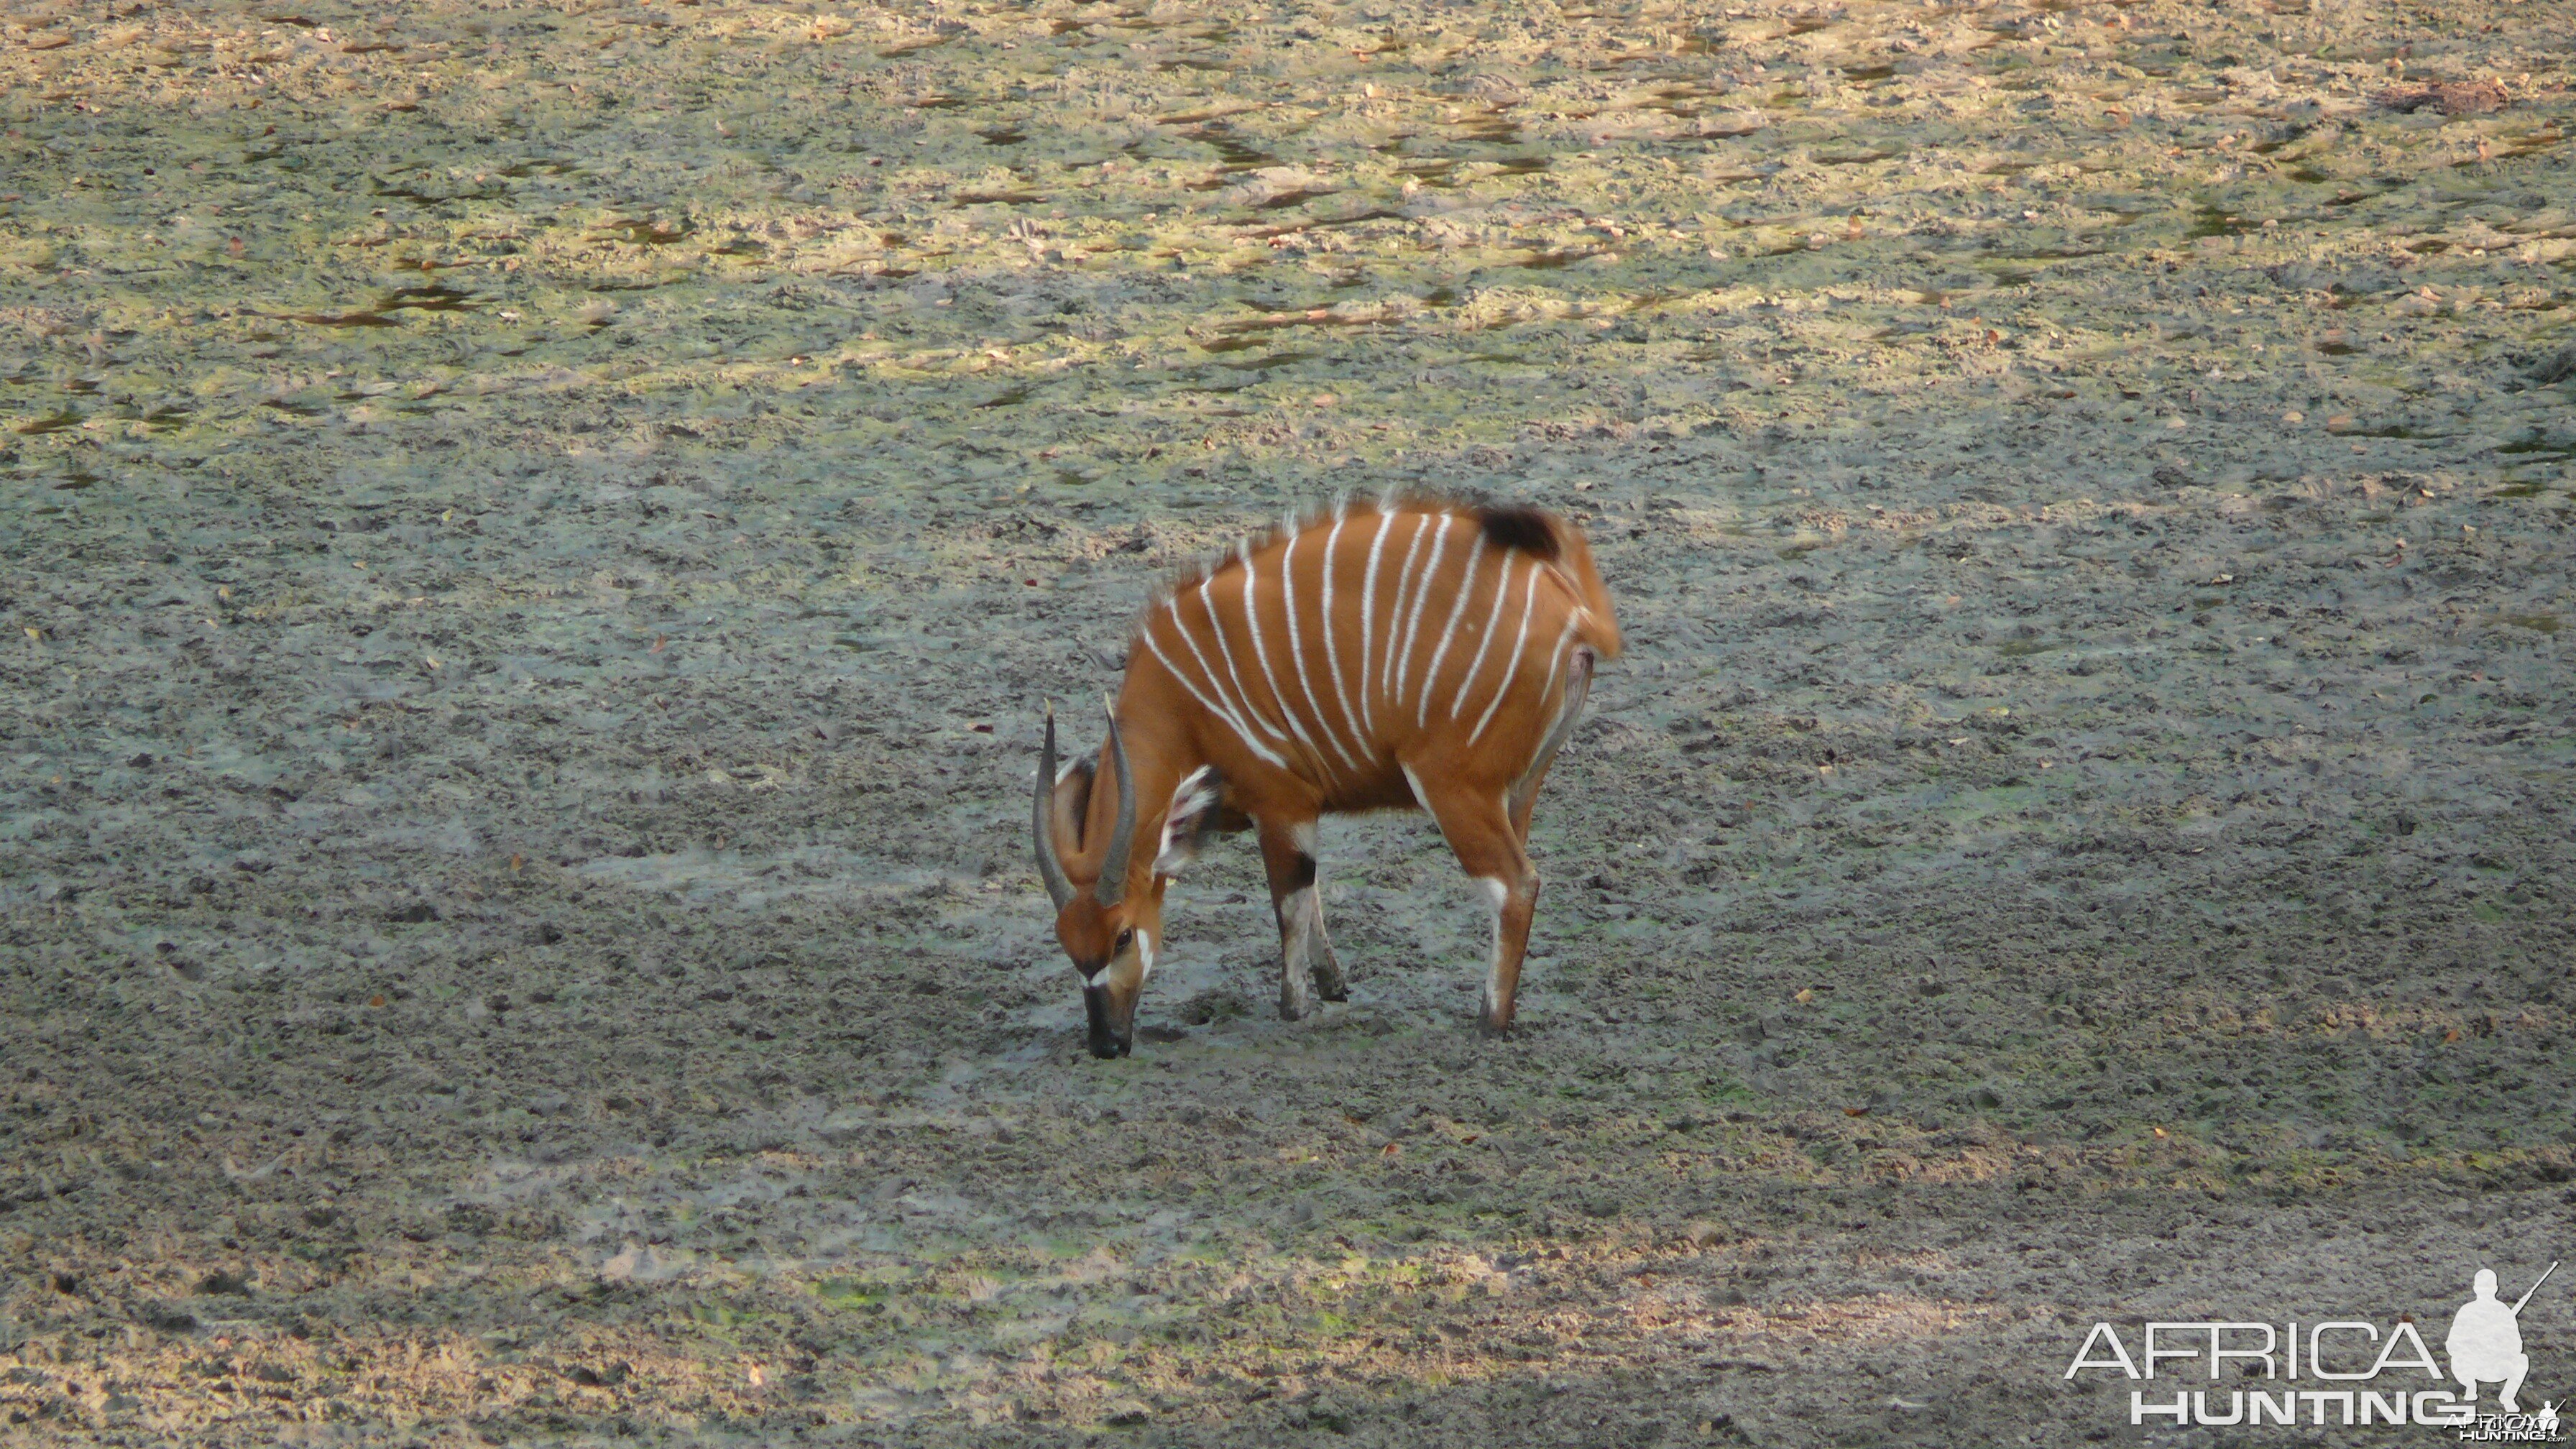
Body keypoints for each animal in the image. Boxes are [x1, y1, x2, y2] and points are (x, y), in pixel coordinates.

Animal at [1025, 492, 1607, 1046]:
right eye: (1064, 941)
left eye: (1122, 934)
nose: (1106, 1043)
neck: (1177, 703)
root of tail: (1572, 611)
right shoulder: (1295, 810)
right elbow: (1312, 896)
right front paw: (1335, 985)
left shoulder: (1281, 803)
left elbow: (1290, 904)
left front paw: (1294, 1007)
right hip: (1518, 790)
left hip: (1452, 787)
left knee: (1516, 885)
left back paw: (1489, 1025)